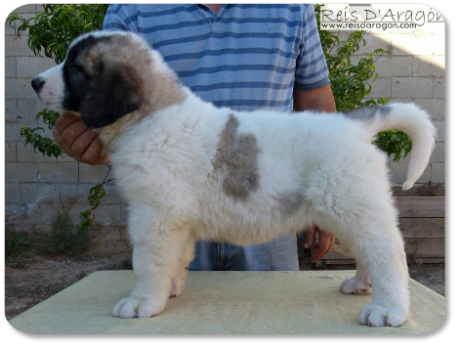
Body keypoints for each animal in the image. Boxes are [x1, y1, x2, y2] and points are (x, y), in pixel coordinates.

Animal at [32, 31, 434, 328]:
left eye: (75, 68)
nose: (35, 82)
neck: (149, 117)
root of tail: (354, 125)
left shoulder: (155, 216)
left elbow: (147, 261)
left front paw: (141, 302)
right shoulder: (176, 221)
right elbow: (175, 258)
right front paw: (170, 290)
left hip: (351, 203)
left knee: (387, 253)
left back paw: (388, 310)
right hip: (348, 207)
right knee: (369, 251)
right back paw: (361, 285)